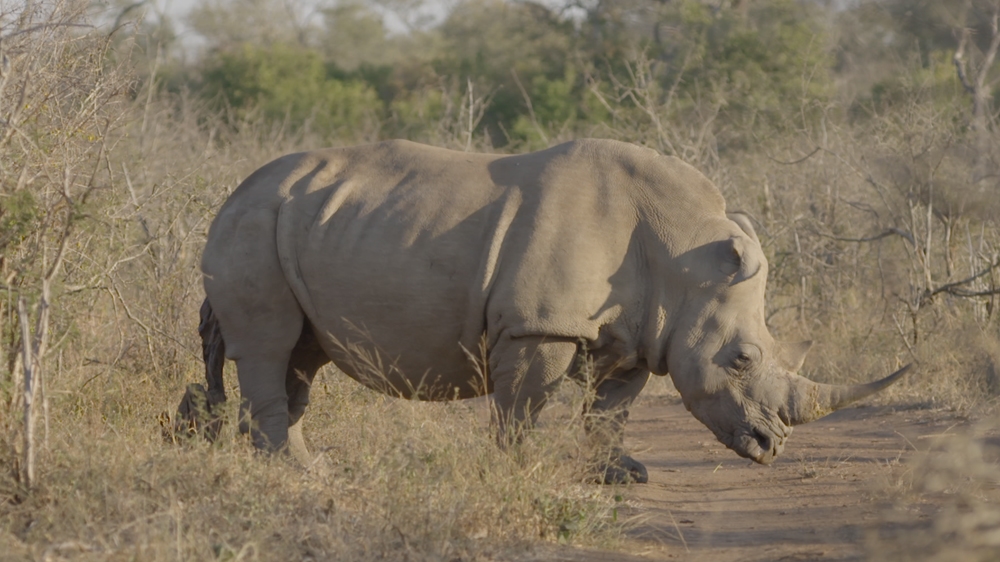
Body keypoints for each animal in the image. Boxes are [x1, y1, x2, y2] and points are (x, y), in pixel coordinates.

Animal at [178, 139, 908, 483]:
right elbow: (524, 404)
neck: (683, 255)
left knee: (303, 356)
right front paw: (518, 468)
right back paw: (293, 470)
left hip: (300, 223)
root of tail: (230, 192)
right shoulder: (539, 325)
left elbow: (612, 408)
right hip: (251, 224)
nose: (771, 447)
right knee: (270, 347)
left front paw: (621, 476)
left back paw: (308, 465)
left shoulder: (645, 332)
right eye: (743, 358)